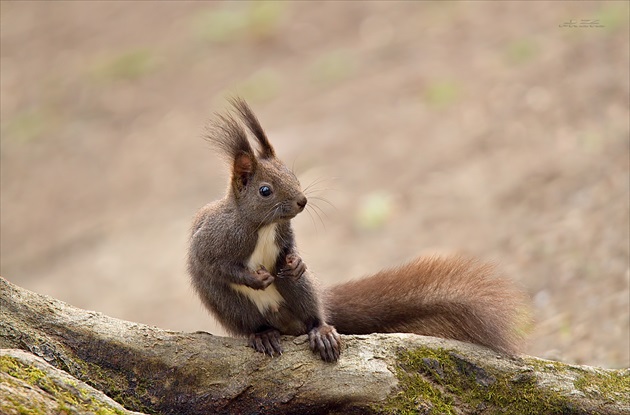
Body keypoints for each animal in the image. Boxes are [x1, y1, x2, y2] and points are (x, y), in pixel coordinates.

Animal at [189, 97, 532, 364]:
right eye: (264, 190)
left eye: (293, 174)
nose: (302, 201)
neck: (263, 226)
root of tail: (284, 324)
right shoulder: (215, 239)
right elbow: (216, 264)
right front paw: (255, 278)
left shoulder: (283, 234)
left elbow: (289, 252)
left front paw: (296, 261)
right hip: (233, 306)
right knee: (252, 320)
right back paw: (264, 336)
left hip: (299, 290)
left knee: (312, 311)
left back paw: (321, 331)